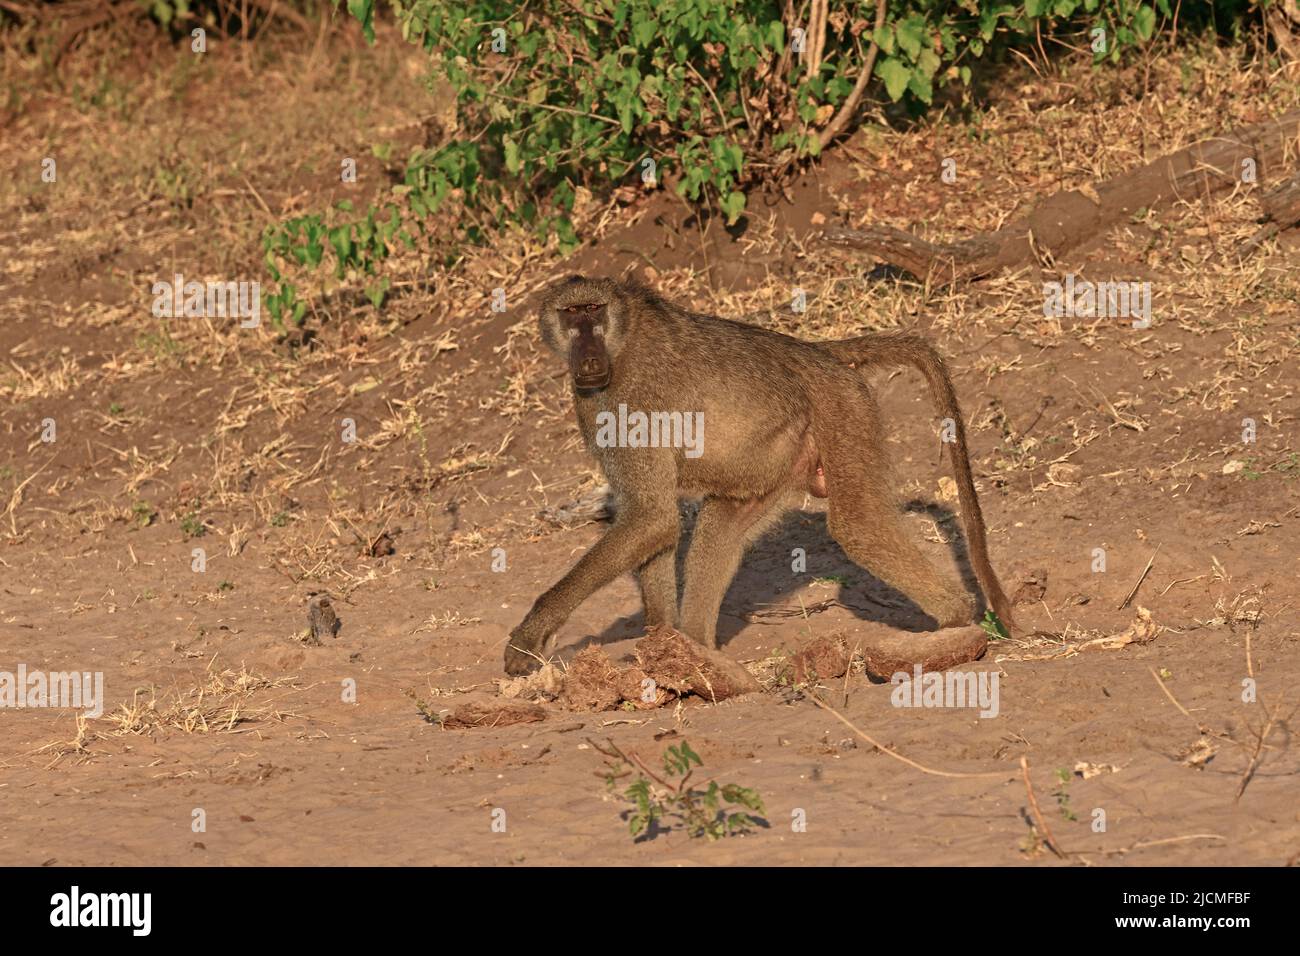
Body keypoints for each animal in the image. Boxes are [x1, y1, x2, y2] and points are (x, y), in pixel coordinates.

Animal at [504, 275, 1016, 675]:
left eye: (594, 310)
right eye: (571, 314)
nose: (588, 357)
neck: (622, 337)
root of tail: (815, 353)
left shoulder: (633, 396)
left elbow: (651, 517)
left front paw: (530, 635)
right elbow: (655, 524)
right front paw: (661, 642)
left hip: (842, 407)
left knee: (859, 527)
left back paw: (955, 625)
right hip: (781, 456)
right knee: (720, 523)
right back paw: (698, 650)